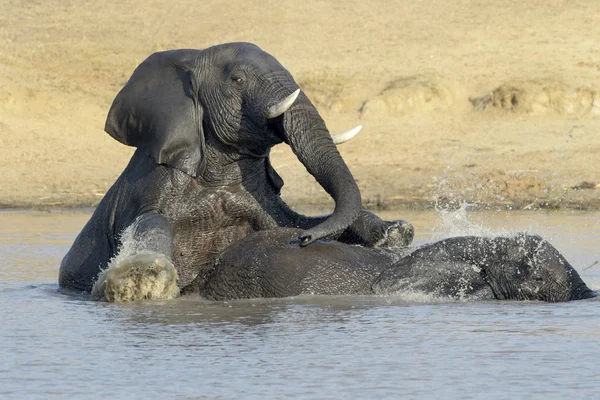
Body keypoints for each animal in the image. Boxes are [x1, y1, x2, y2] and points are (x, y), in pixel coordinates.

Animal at [59, 42, 408, 302]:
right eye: (237, 80)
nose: (304, 241)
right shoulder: (153, 183)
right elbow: (150, 220)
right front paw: (145, 279)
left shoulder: (259, 203)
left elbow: (290, 220)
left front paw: (394, 231)